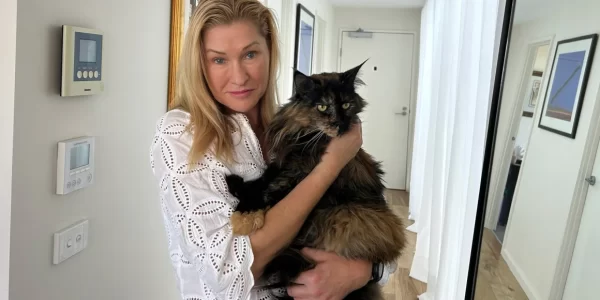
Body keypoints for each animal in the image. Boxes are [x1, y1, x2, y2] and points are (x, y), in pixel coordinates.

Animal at [226, 61, 408, 300]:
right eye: (322, 107)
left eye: (347, 105)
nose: (340, 124)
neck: (306, 137)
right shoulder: (284, 164)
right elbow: (262, 181)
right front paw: (237, 189)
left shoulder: (296, 175)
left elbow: (269, 193)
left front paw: (245, 214)